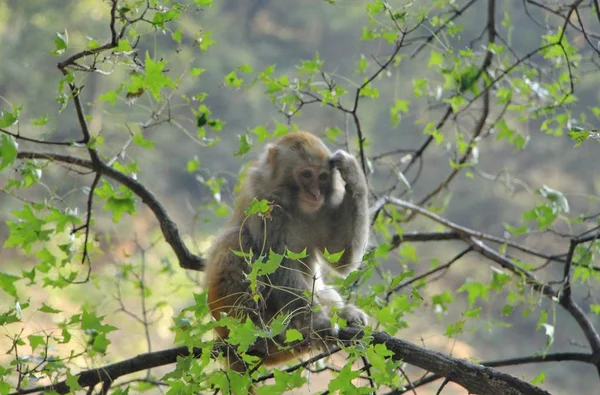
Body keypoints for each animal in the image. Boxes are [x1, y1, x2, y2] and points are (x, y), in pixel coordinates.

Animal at [204, 132, 368, 374]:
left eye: (323, 177)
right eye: (306, 174)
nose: (316, 194)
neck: (295, 205)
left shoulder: (324, 209)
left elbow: (341, 259)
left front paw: (351, 171)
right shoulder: (265, 205)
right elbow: (275, 265)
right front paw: (318, 323)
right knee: (237, 241)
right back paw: (258, 334)